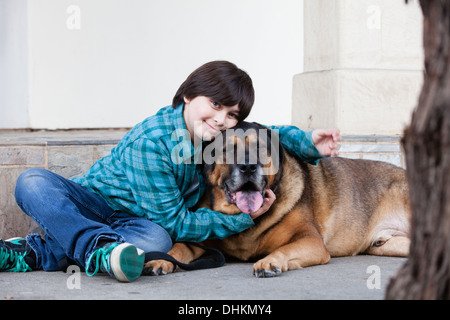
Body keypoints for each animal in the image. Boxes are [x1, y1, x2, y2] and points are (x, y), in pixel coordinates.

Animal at [145, 122, 412, 278]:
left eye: (260, 148)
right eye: (227, 149)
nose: (248, 167)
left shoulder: (311, 241)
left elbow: (286, 248)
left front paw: (270, 262)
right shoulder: (202, 239)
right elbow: (179, 247)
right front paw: (159, 259)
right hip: (385, 245)